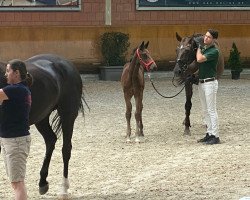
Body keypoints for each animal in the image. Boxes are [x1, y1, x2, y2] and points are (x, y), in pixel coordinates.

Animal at [0, 54, 86, 198]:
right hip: (42, 118)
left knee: (66, 149)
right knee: (51, 140)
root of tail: (66, 64)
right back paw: (42, 182)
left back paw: (63, 188)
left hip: (67, 115)